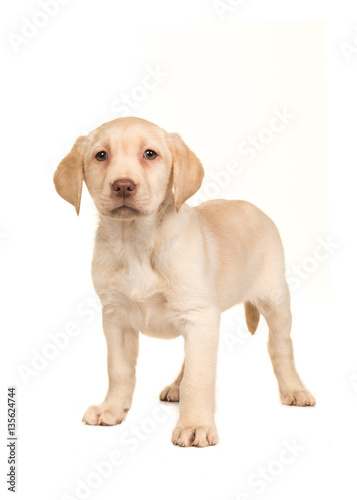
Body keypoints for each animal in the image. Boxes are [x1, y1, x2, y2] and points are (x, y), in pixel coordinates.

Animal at [53, 118, 314, 450]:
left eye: (150, 154)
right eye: (101, 155)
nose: (123, 185)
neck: (136, 243)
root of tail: (252, 206)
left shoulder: (199, 316)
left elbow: (199, 378)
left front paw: (195, 425)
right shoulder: (115, 318)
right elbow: (119, 370)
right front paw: (112, 408)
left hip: (274, 298)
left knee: (281, 346)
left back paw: (294, 389)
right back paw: (175, 386)